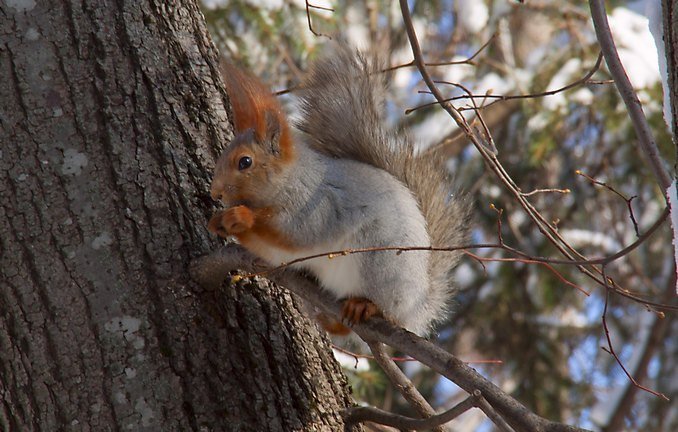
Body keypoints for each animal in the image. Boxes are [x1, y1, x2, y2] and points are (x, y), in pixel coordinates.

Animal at [210, 45, 470, 336]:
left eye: (245, 162)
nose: (215, 193)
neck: (290, 180)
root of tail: (419, 306)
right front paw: (217, 221)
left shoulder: (318, 205)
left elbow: (296, 234)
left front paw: (241, 218)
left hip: (381, 266)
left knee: (387, 310)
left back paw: (366, 306)